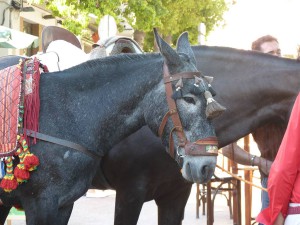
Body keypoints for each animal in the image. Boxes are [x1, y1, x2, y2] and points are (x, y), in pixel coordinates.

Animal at [0, 30, 223, 225]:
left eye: (211, 96)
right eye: (188, 98)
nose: (207, 166)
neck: (66, 114)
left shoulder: (64, 205)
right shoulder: (41, 203)